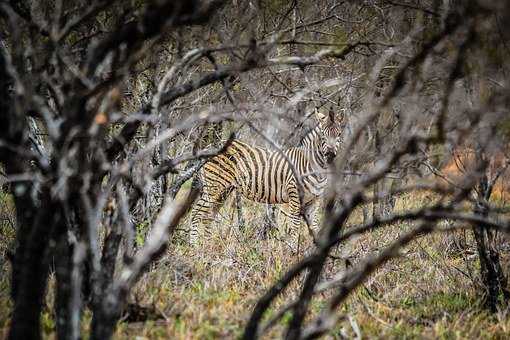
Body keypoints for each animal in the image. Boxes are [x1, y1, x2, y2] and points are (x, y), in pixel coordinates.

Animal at [189, 108, 344, 244]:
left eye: (339, 135)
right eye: (323, 135)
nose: (330, 155)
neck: (315, 168)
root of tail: (209, 146)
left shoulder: (314, 201)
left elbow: (315, 229)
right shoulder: (294, 198)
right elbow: (294, 228)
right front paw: (293, 253)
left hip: (223, 190)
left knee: (208, 216)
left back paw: (208, 246)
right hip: (213, 187)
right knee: (196, 214)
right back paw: (194, 247)